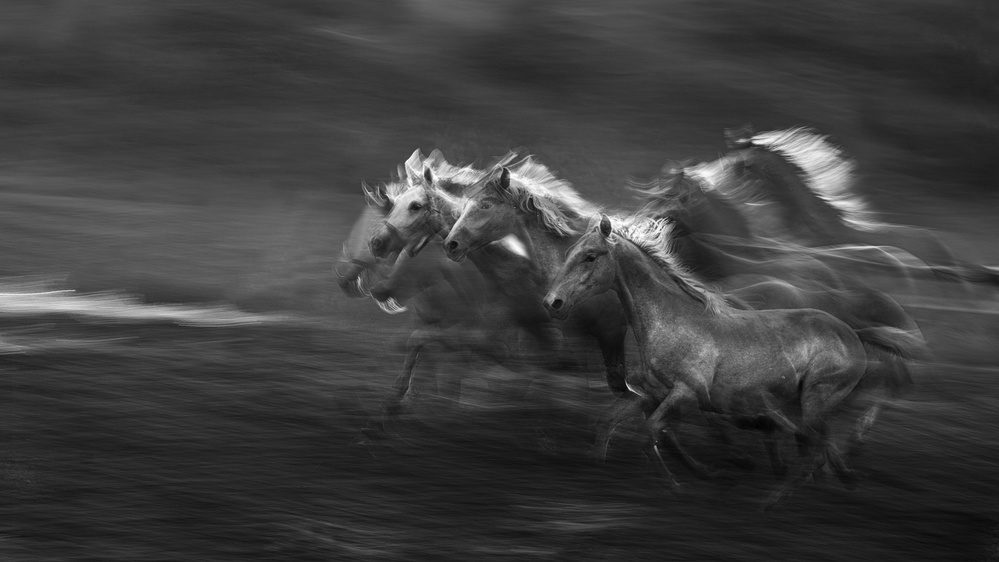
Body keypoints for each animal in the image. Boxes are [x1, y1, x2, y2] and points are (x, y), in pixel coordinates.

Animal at [542, 215, 919, 508]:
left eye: (590, 257)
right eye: (569, 253)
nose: (552, 303)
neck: (673, 320)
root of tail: (853, 334)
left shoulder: (686, 392)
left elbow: (651, 431)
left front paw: (678, 485)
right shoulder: (651, 392)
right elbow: (617, 423)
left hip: (816, 399)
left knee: (813, 447)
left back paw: (773, 500)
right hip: (800, 404)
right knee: (814, 445)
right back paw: (832, 477)